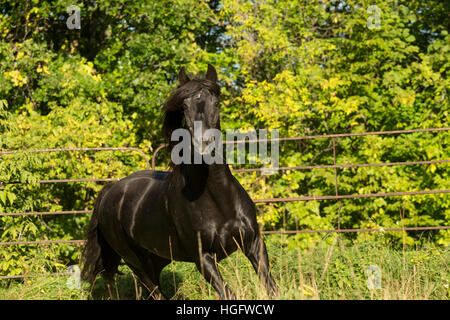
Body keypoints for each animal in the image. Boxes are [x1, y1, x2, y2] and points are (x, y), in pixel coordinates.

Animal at [81, 63, 278, 298]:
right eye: (184, 106)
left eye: (216, 102)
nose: (204, 143)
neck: (218, 199)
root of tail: (110, 191)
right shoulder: (203, 259)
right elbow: (228, 293)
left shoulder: (254, 244)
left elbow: (270, 286)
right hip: (136, 263)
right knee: (154, 291)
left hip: (156, 259)